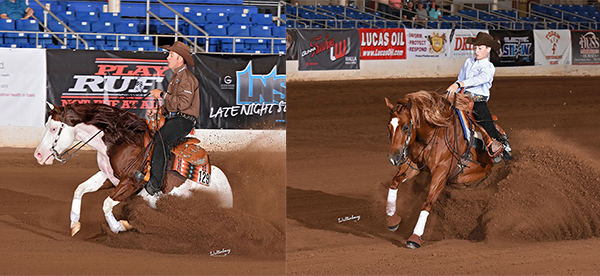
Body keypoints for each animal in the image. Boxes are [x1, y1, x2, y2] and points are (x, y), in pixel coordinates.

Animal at [34, 102, 233, 236]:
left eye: (53, 128)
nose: (38, 155)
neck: (120, 142)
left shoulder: (131, 182)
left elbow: (106, 203)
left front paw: (120, 226)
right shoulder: (109, 177)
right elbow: (80, 189)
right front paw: (74, 225)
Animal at [384, 90, 506, 248]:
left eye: (406, 127)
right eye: (389, 126)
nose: (393, 157)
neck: (432, 135)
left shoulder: (441, 171)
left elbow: (428, 202)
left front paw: (415, 237)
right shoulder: (414, 166)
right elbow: (394, 182)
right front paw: (392, 220)